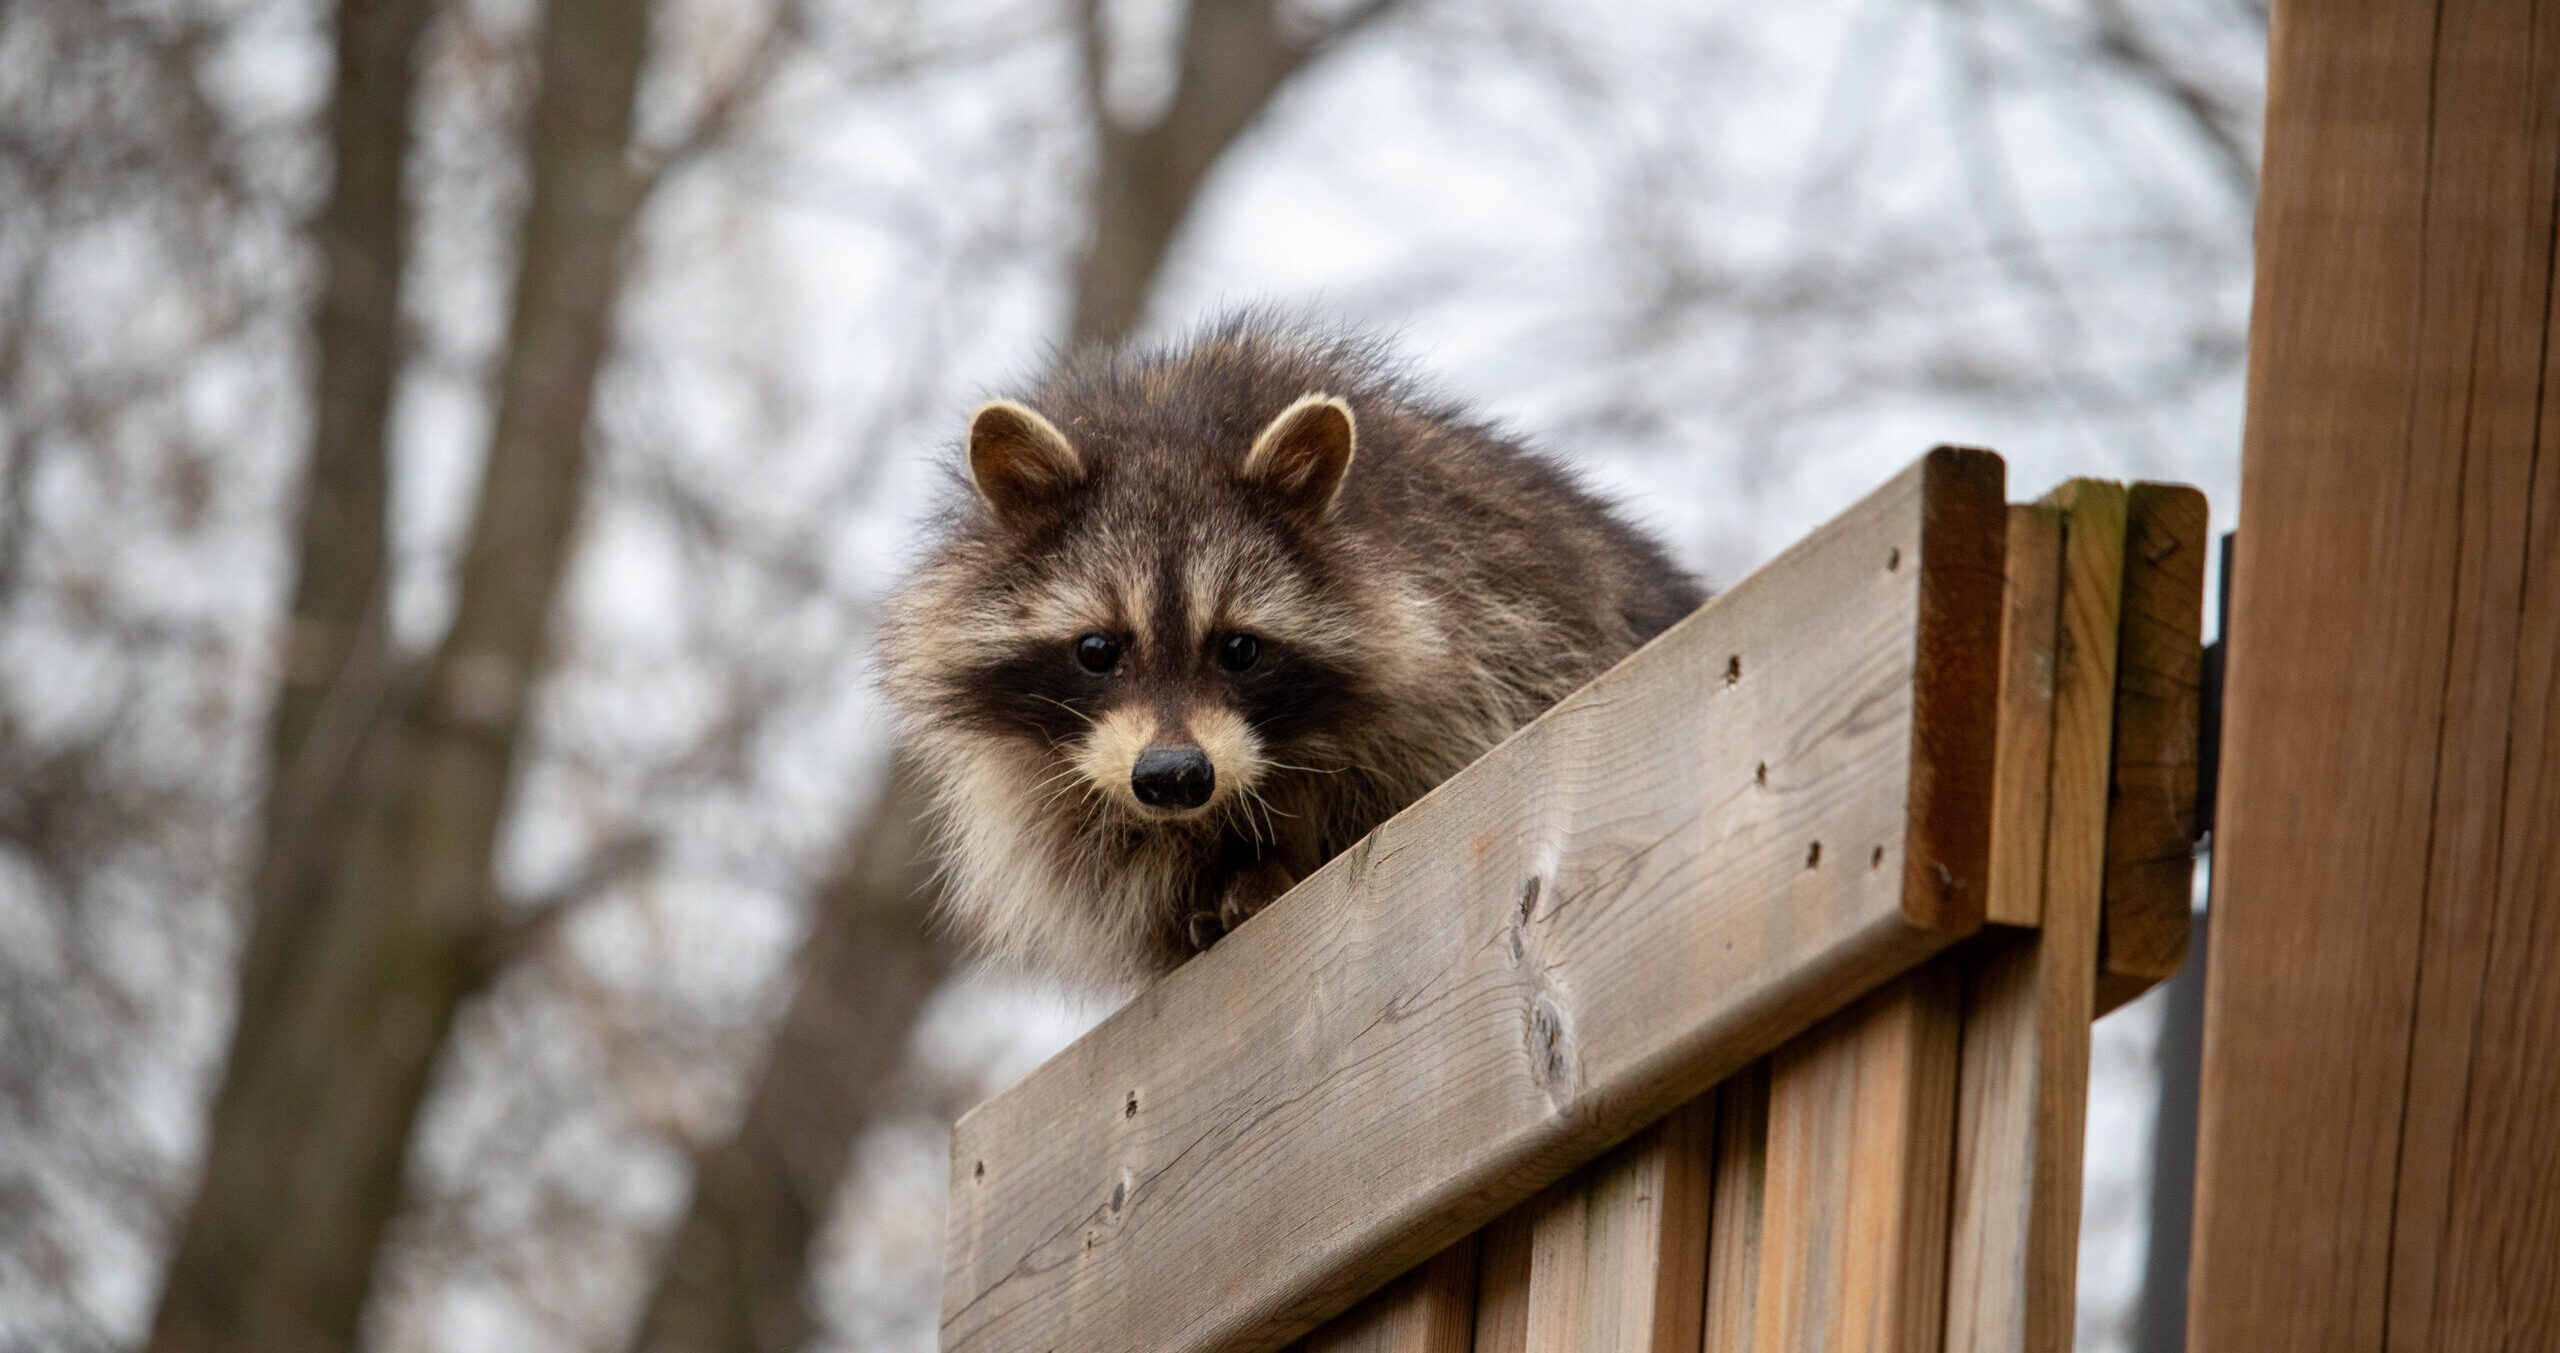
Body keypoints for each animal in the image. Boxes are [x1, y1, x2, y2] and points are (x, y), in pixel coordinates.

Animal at [879, 316, 1703, 991]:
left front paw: (1262, 869)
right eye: (1097, 648)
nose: (1174, 776)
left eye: (1240, 647)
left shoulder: (1491, 650)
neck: (1172, 415)